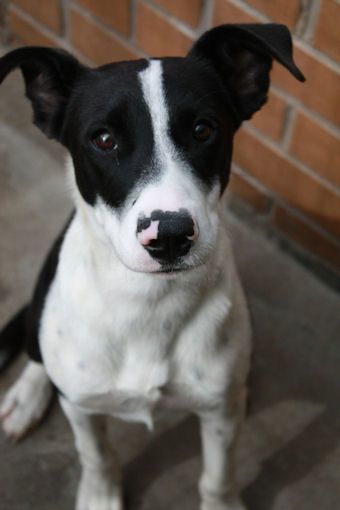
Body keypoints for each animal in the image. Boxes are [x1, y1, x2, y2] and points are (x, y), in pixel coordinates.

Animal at [0, 22, 302, 510]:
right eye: (103, 139)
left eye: (203, 129)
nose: (171, 235)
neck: (147, 302)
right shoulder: (82, 408)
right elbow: (95, 454)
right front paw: (100, 495)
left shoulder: (219, 413)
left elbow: (218, 474)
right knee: (36, 346)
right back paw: (26, 395)